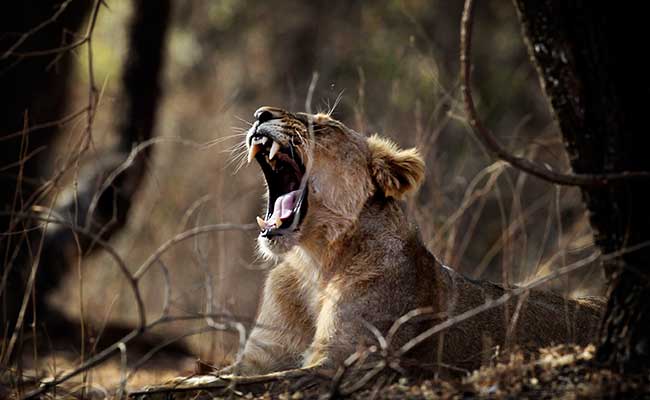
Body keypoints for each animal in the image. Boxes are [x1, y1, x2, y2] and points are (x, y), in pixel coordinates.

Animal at [229, 106, 604, 376]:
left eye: (324, 128)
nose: (260, 114)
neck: (315, 263)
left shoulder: (343, 363)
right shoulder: (260, 357)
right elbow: (225, 377)